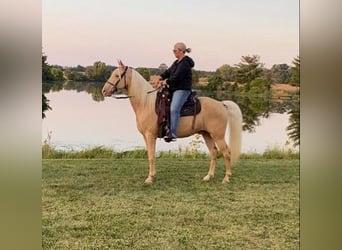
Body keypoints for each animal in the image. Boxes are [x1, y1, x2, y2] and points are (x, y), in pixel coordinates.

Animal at [101, 60, 243, 184]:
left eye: (117, 75)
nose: (104, 90)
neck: (146, 103)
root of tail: (222, 104)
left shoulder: (150, 135)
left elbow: (151, 156)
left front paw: (150, 178)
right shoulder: (145, 137)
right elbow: (150, 155)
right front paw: (152, 176)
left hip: (218, 136)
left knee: (227, 153)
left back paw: (226, 178)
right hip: (207, 134)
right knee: (214, 153)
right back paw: (209, 176)